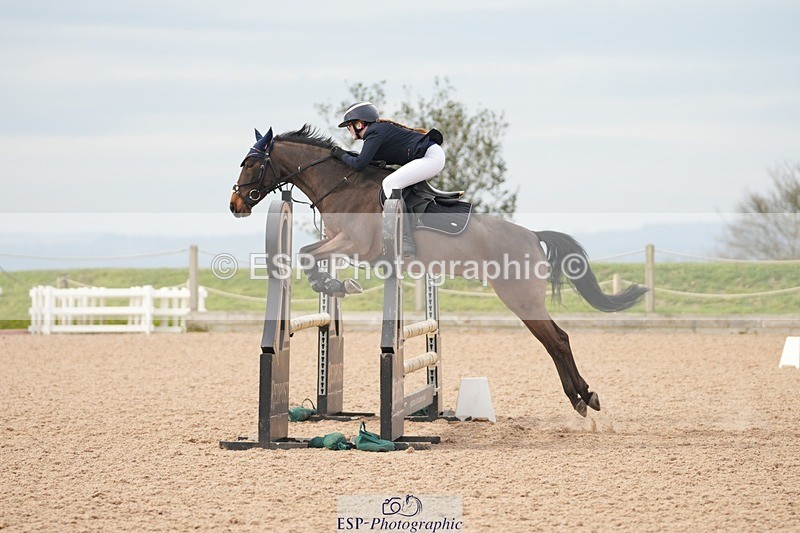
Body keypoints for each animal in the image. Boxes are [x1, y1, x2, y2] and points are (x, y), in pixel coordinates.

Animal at [229, 125, 647, 417]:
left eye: (252, 163)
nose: (235, 204)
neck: (341, 185)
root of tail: (532, 236)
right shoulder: (339, 243)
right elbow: (309, 254)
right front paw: (334, 283)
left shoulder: (355, 244)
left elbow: (304, 255)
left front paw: (335, 283)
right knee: (558, 339)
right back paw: (583, 397)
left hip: (520, 298)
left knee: (557, 340)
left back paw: (583, 398)